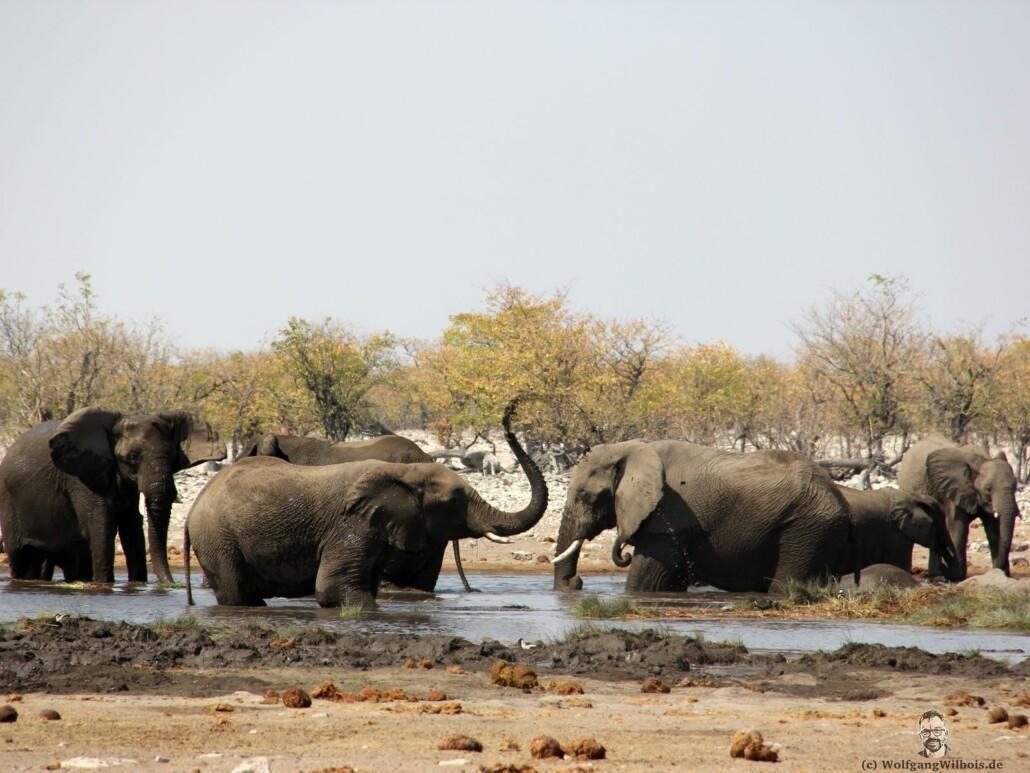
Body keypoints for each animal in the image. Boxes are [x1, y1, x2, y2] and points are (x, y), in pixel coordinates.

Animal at [552, 441, 856, 593]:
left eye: (585, 496)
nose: (575, 582)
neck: (631, 449)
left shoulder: (669, 516)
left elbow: (644, 582)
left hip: (807, 528)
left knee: (786, 584)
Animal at [898, 432, 1017, 577]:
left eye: (1015, 486)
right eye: (988, 489)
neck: (981, 460)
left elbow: (993, 527)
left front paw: (1000, 574)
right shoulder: (952, 489)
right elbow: (958, 527)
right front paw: (958, 577)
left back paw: (935, 575)